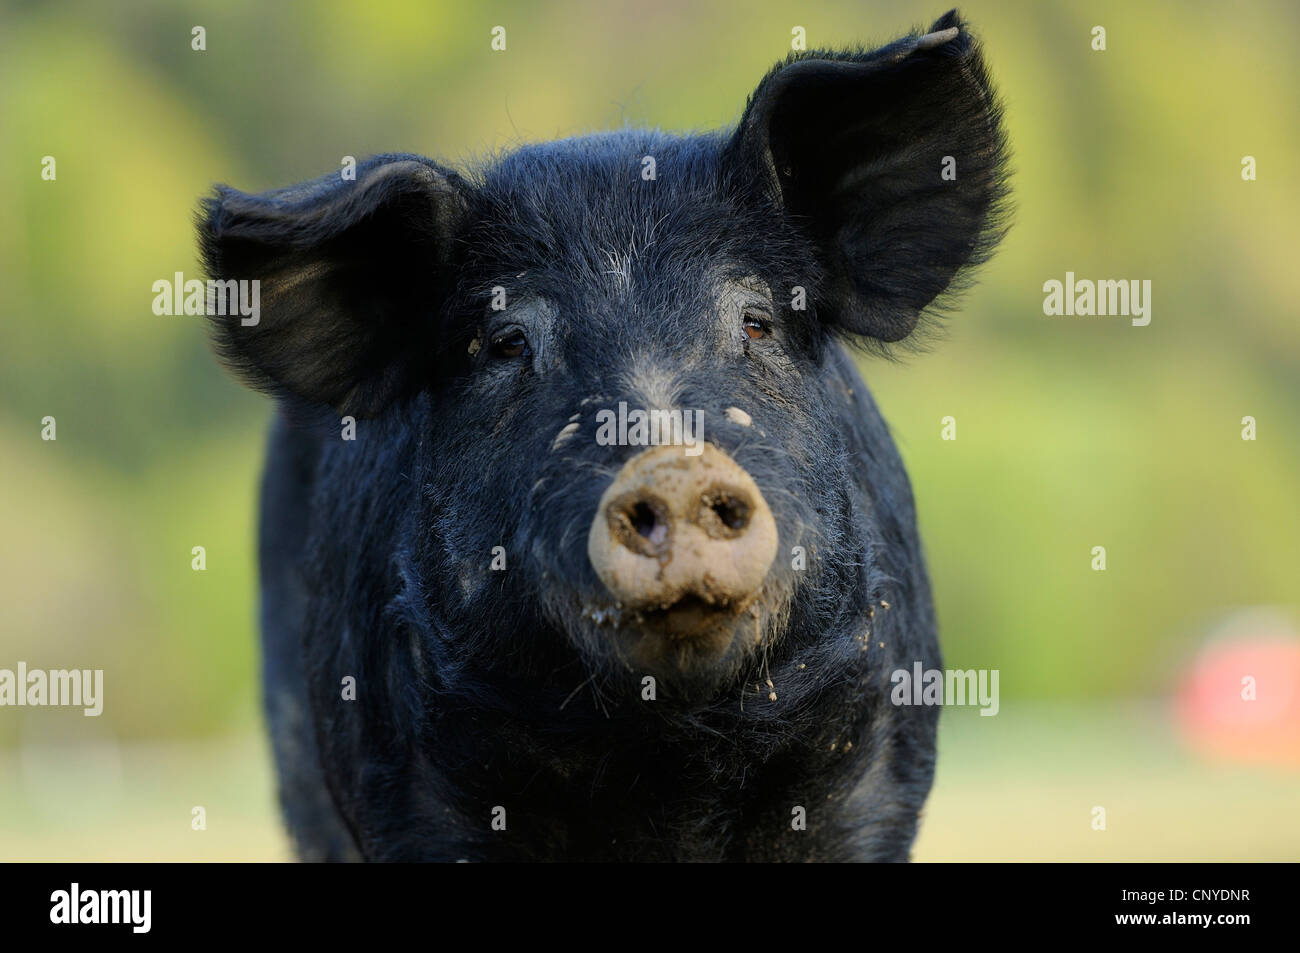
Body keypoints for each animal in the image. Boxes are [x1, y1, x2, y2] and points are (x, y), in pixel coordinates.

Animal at [202, 11, 1008, 858]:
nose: (674, 466)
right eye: (508, 342)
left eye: (756, 321)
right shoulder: (414, 788)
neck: (666, 756)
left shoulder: (868, 759)